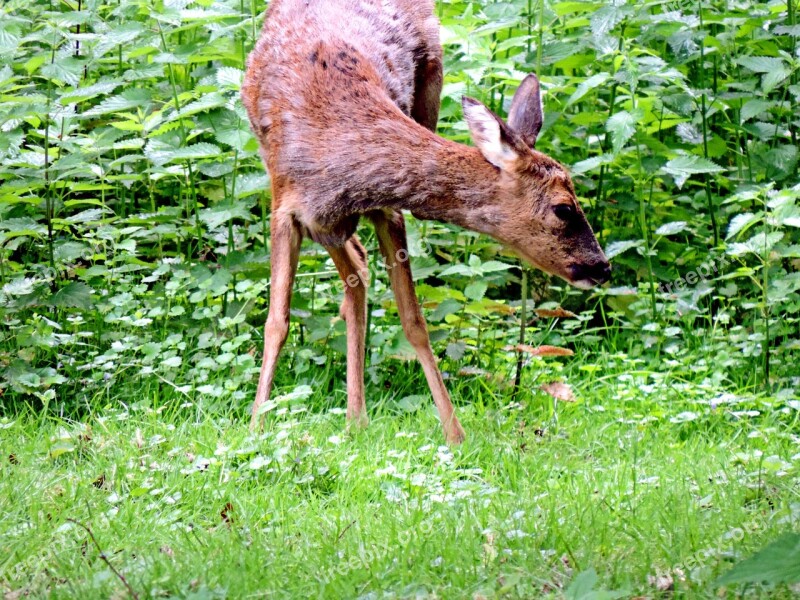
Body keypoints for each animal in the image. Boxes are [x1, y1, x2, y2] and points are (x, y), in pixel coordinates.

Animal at [241, 0, 608, 440]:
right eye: (564, 208)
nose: (602, 267)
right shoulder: (285, 208)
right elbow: (276, 323)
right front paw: (255, 427)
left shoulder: (385, 210)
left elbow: (413, 320)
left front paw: (455, 433)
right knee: (356, 268)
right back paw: (353, 417)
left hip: (427, 98)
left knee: (359, 269)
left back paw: (356, 418)